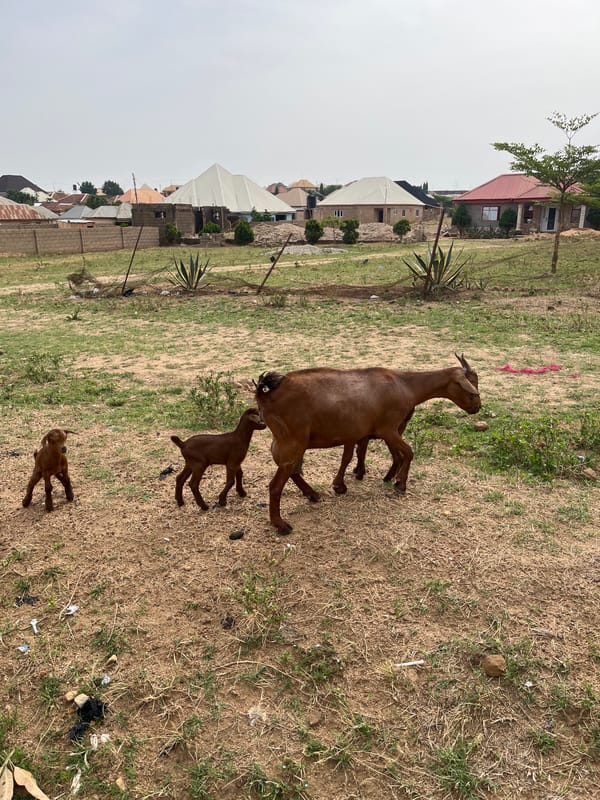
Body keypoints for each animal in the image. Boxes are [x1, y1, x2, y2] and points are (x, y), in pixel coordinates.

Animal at [255, 355, 480, 533]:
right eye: (471, 386)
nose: (478, 407)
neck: (405, 384)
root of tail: (267, 395)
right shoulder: (388, 429)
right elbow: (408, 452)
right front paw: (400, 484)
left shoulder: (355, 432)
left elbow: (350, 456)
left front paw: (343, 484)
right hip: (293, 442)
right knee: (276, 485)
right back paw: (280, 524)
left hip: (286, 443)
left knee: (290, 469)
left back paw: (312, 494)